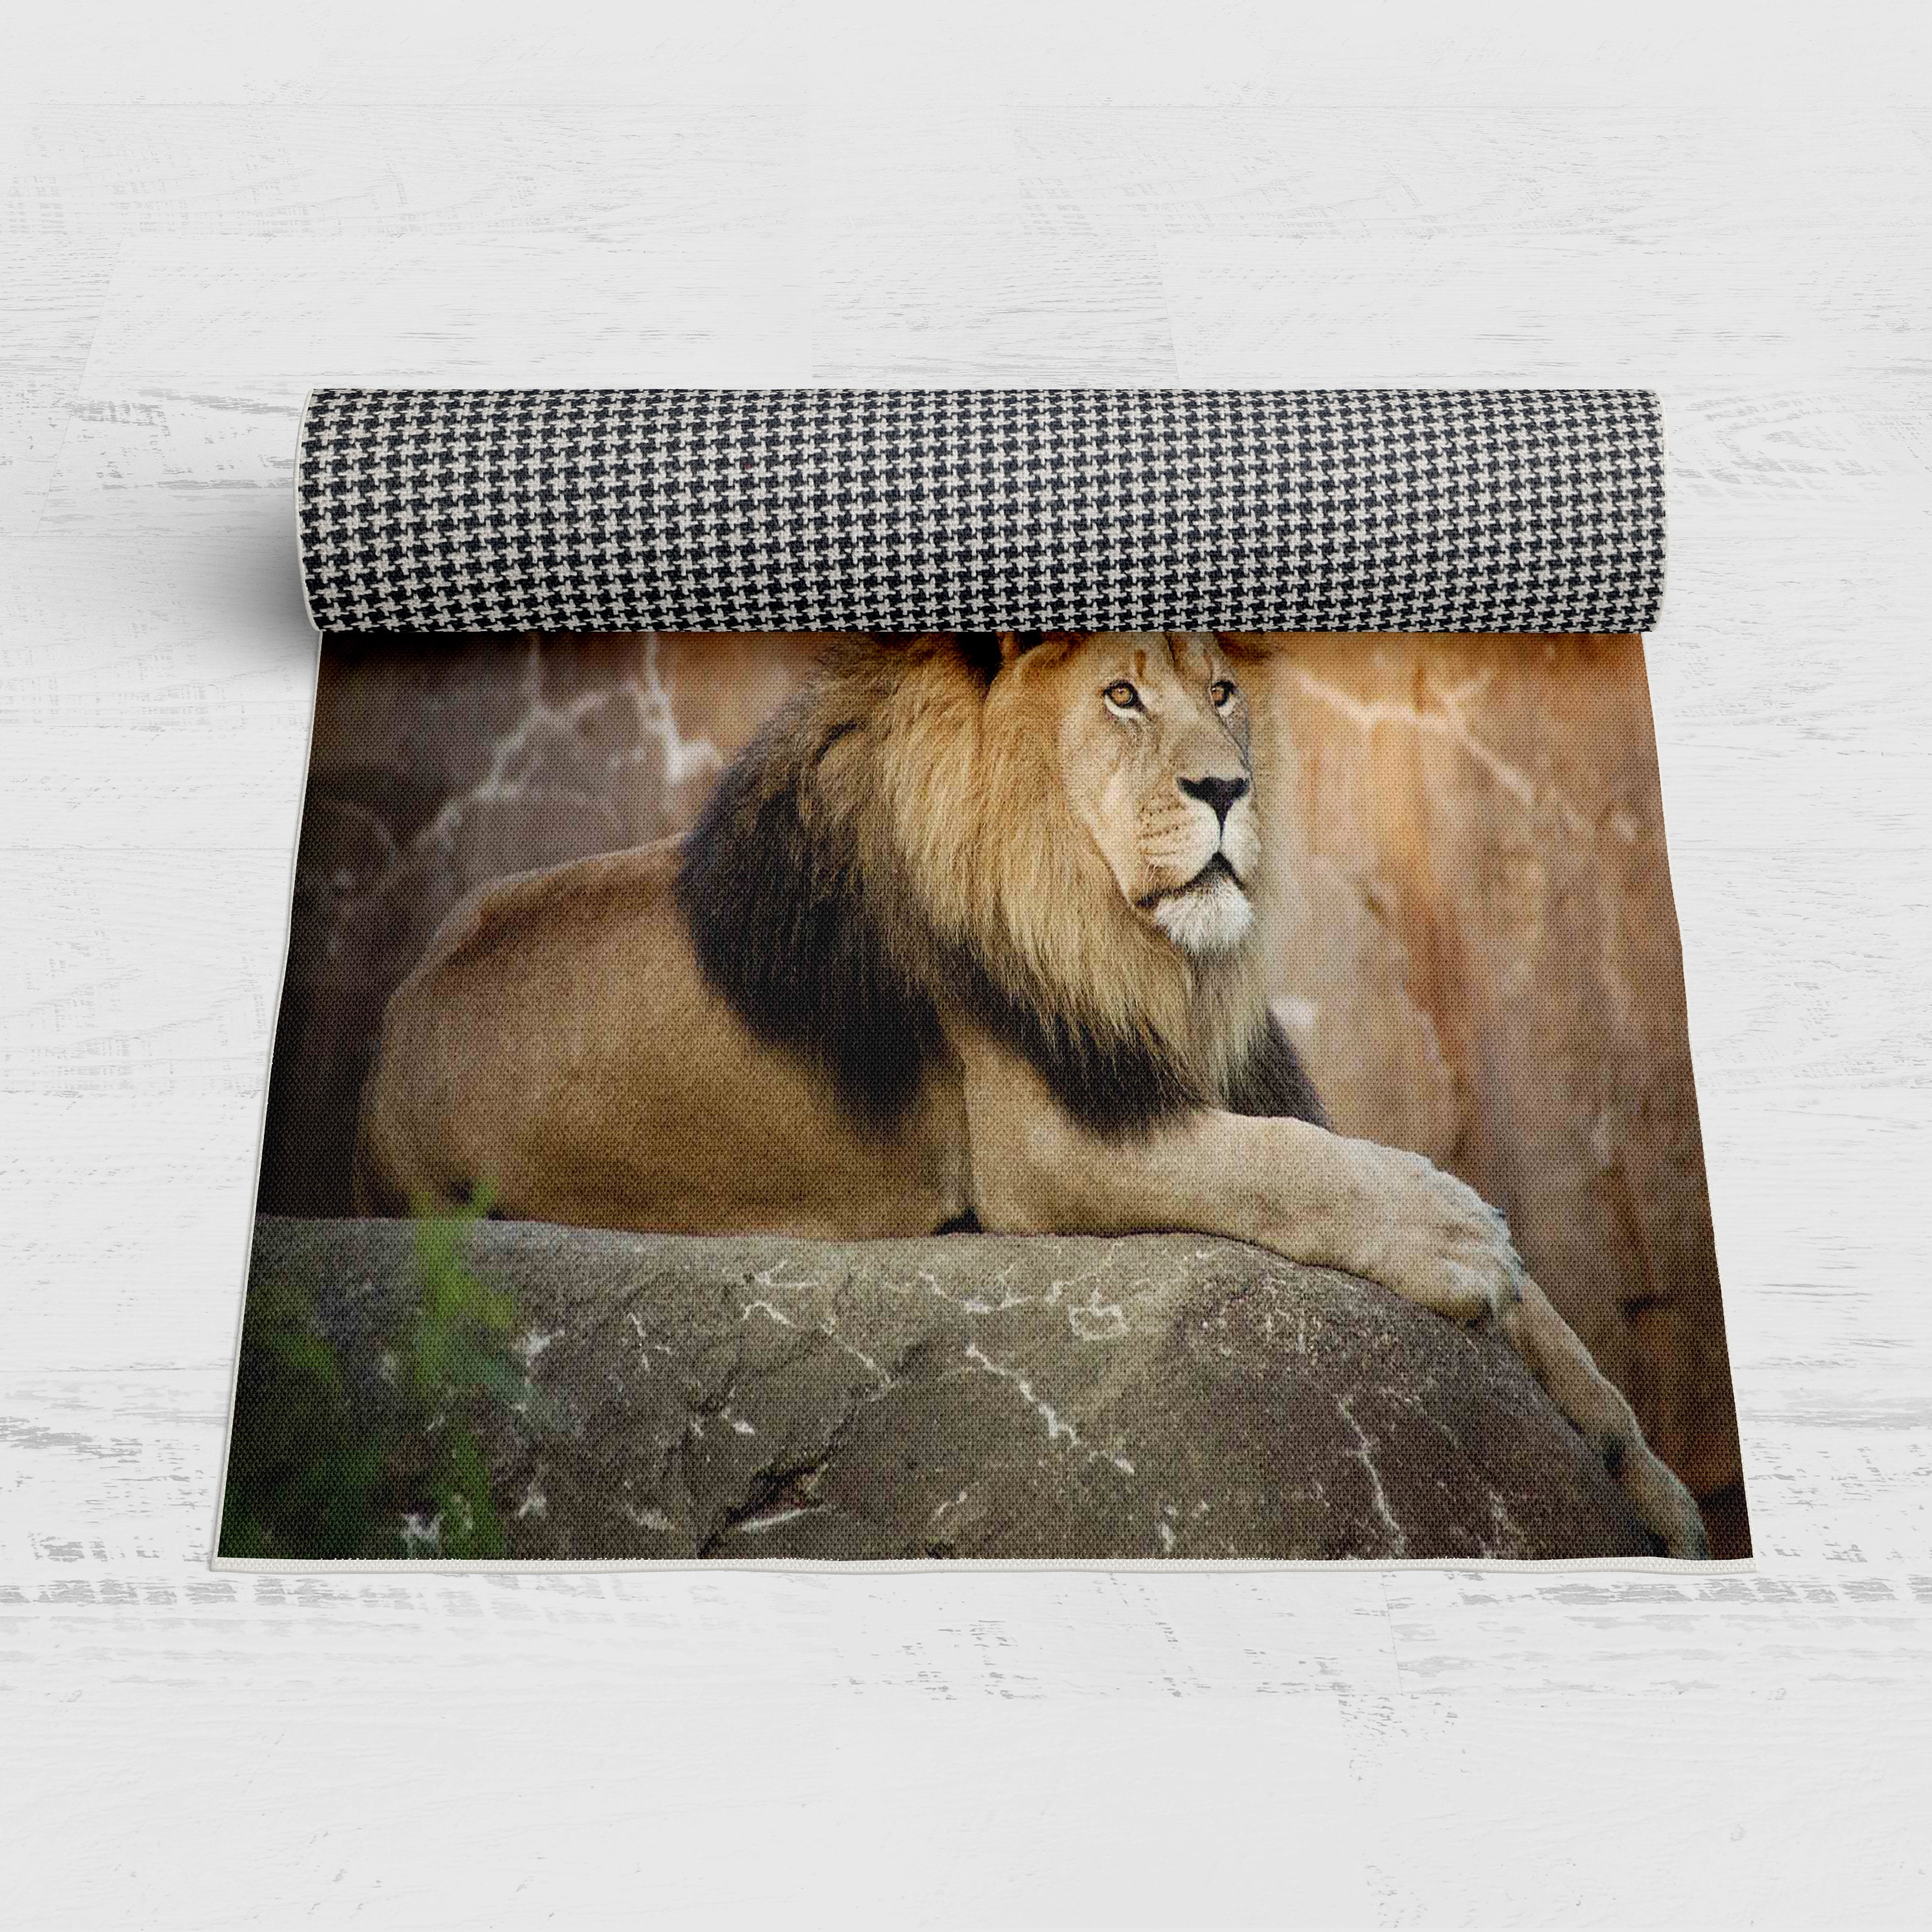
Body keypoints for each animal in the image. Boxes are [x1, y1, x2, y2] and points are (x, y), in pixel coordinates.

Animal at [354, 628, 1710, 1558]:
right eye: (1122, 695)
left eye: (1223, 693)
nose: (1229, 792)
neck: (1144, 951)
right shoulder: (1046, 1147)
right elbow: (1284, 1165)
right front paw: (1452, 1236)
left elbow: (1547, 1322)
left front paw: (1648, 1481)